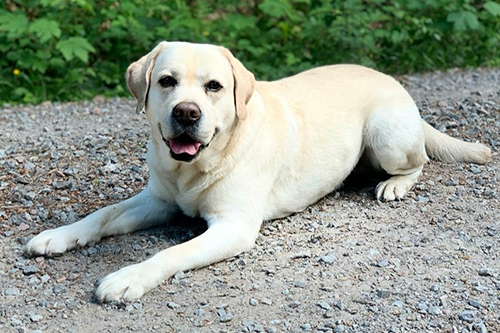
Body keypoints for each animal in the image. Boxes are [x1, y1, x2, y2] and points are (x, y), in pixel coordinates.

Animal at [24, 40, 492, 300]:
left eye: (214, 86)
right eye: (166, 81)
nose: (187, 113)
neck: (195, 168)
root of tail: (394, 81)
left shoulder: (232, 227)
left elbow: (171, 253)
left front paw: (127, 279)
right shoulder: (157, 199)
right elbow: (102, 215)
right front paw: (58, 236)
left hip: (387, 135)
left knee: (420, 162)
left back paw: (394, 186)